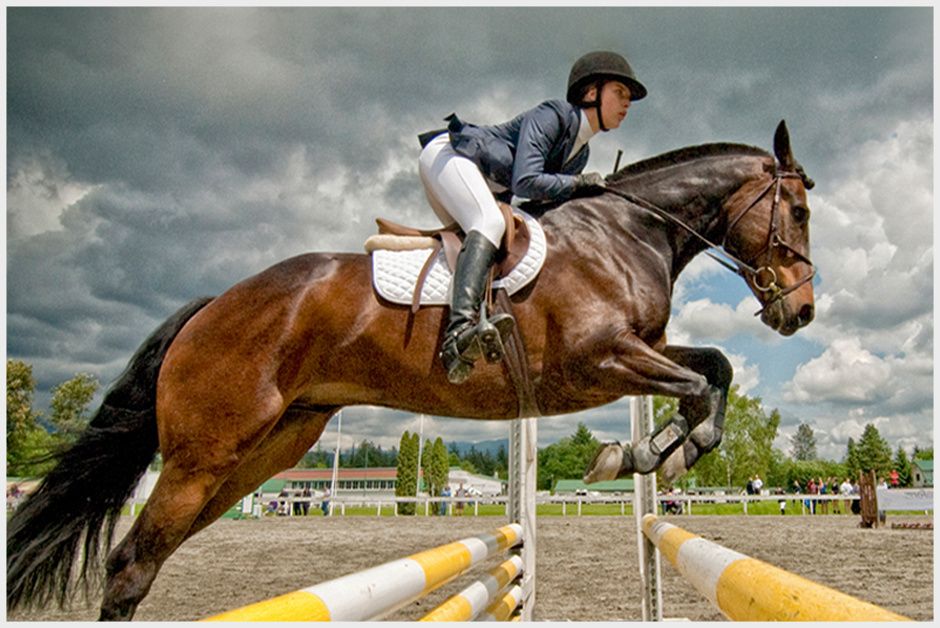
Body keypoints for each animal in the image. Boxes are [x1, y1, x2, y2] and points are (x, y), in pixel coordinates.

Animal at [5, 120, 816, 620]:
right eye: (801, 211)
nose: (801, 313)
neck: (628, 232)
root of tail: (214, 305)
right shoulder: (599, 359)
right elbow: (701, 386)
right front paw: (650, 453)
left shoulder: (637, 352)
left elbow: (714, 369)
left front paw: (649, 454)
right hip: (203, 456)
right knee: (130, 565)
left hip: (258, 453)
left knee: (148, 557)